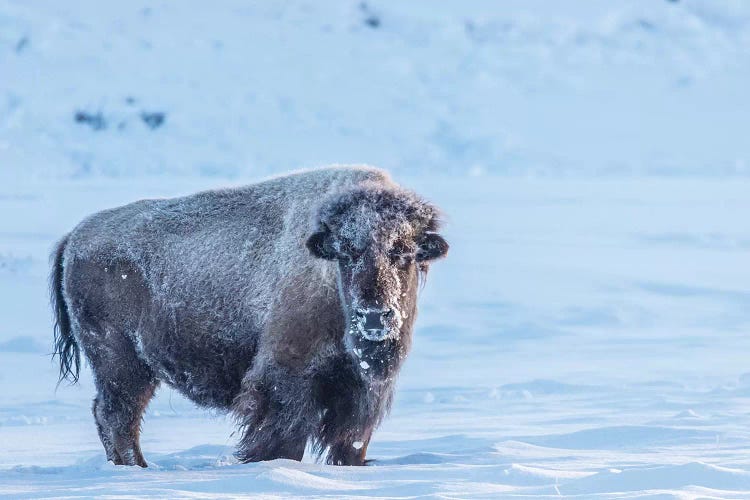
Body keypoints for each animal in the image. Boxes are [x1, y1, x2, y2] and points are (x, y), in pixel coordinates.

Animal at [54, 166, 452, 466]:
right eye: (347, 253)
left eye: (403, 253)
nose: (374, 316)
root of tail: (75, 237)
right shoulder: (287, 376)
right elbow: (283, 439)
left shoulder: (361, 392)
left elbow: (350, 443)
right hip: (122, 364)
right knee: (117, 416)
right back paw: (138, 468)